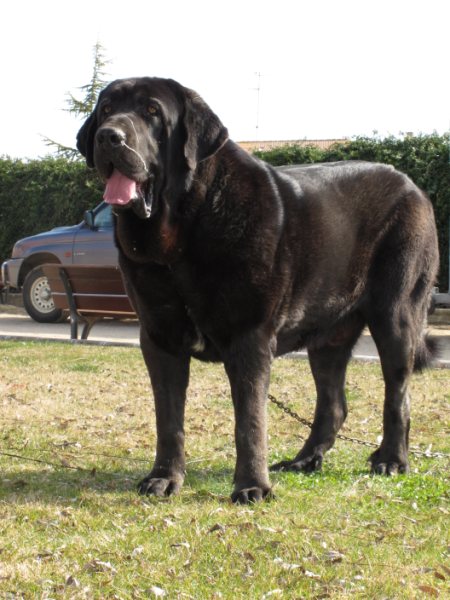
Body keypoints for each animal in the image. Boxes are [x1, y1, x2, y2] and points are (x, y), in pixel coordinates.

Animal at [77, 78, 440, 502]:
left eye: (152, 111)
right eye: (105, 109)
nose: (108, 136)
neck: (182, 233)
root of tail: (414, 187)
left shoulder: (249, 337)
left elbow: (249, 421)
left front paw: (252, 486)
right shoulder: (159, 338)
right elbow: (168, 419)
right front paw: (164, 477)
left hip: (396, 315)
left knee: (397, 394)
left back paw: (392, 460)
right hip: (328, 336)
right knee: (333, 403)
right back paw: (303, 460)